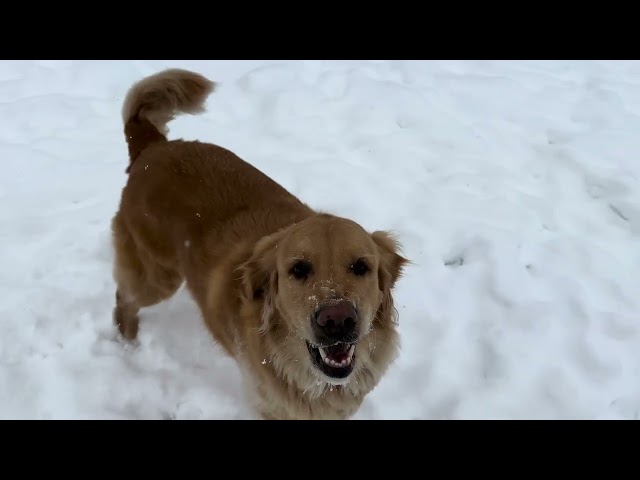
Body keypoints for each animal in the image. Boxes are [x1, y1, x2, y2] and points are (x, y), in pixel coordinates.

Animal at [110, 67, 408, 420]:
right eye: (298, 270)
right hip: (157, 277)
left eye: (361, 267)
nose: (337, 321)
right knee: (124, 299)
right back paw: (128, 343)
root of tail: (153, 147)